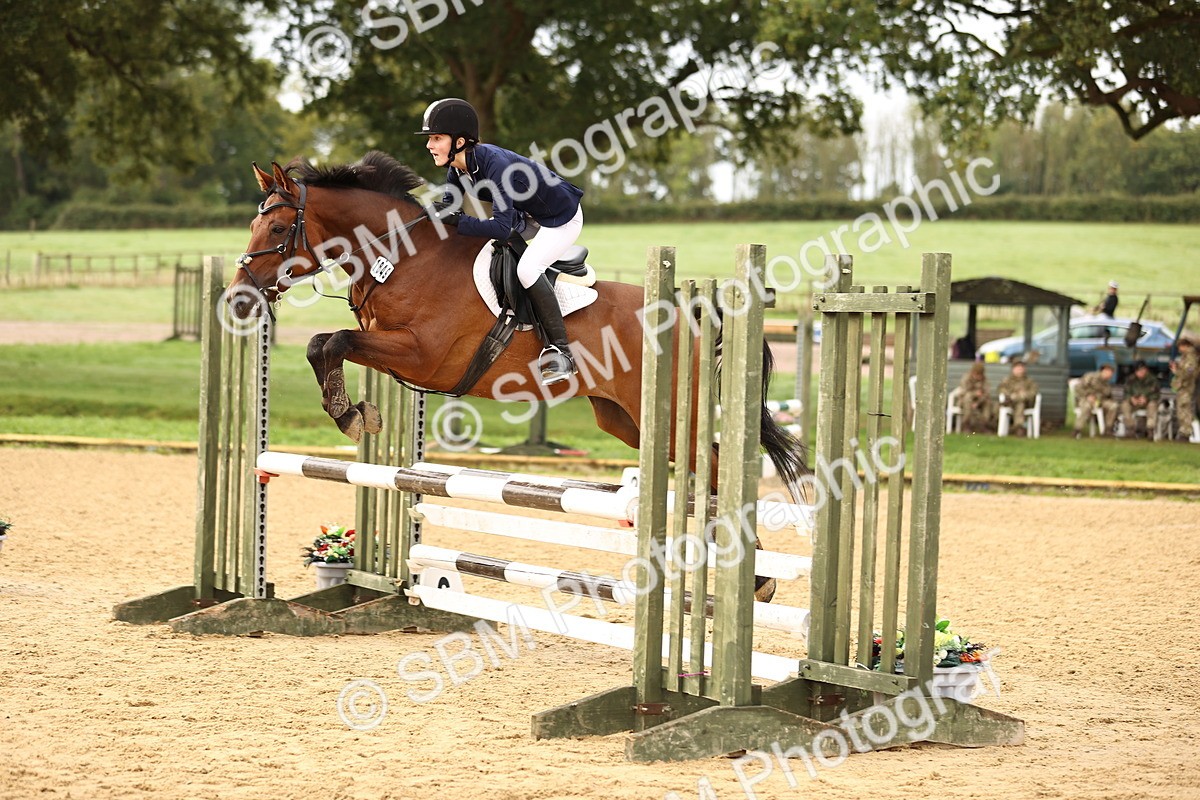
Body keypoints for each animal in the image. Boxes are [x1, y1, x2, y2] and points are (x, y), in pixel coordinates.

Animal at [229, 151, 807, 600]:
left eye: (277, 229)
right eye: (254, 226)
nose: (239, 298)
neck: (403, 259)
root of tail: (693, 311)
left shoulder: (422, 354)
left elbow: (337, 342)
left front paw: (349, 416)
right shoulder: (390, 349)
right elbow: (321, 344)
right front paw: (354, 412)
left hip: (665, 413)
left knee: (715, 468)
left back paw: (758, 579)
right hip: (627, 421)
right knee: (702, 470)